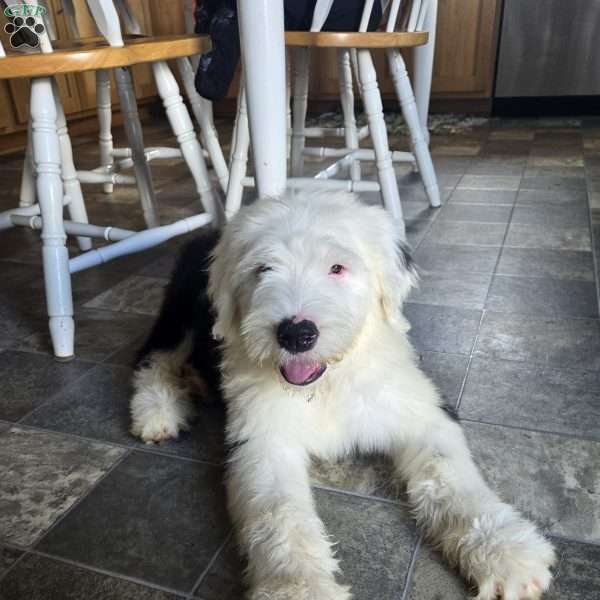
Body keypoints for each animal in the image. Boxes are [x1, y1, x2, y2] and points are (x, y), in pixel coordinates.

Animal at [129, 193, 556, 600]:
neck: (325, 387)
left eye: (337, 268)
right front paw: (299, 588)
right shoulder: (263, 440)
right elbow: (279, 513)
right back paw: (158, 412)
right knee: (153, 359)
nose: (296, 334)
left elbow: (451, 476)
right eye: (263, 268)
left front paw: (506, 551)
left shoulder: (421, 411)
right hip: (180, 312)